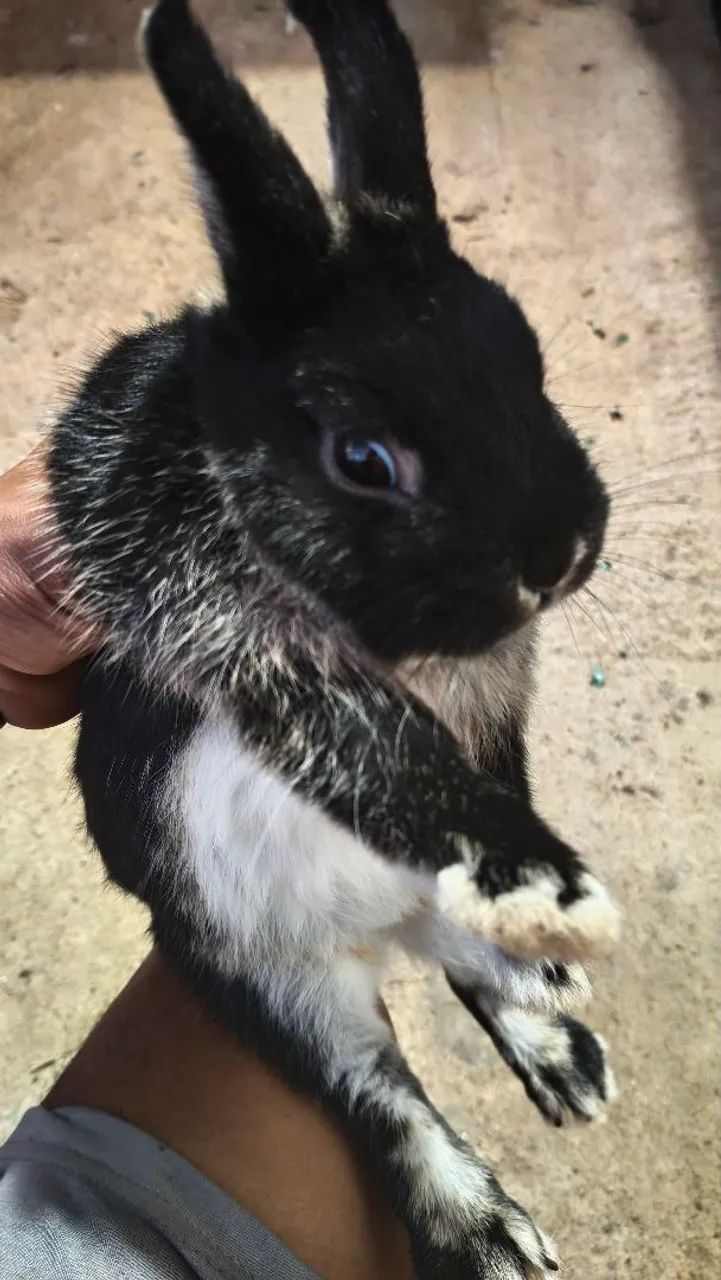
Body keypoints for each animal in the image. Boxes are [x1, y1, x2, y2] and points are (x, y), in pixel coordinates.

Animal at [46, 0, 619, 1275]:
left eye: (532, 360)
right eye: (362, 458)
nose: (555, 555)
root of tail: (372, 931)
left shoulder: (486, 707)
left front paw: (543, 921)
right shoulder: (248, 662)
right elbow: (380, 751)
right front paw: (552, 888)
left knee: (459, 960)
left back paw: (559, 1043)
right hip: (260, 970)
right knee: (374, 1089)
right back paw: (485, 1231)